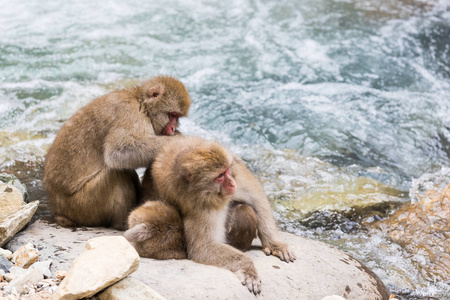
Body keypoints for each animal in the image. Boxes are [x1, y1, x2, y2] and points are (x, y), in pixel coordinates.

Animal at [42, 75, 190, 230]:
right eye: (172, 115)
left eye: (177, 117)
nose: (172, 128)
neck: (141, 102)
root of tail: (58, 209)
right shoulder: (129, 113)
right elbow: (119, 152)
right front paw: (178, 139)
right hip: (83, 206)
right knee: (116, 172)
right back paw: (123, 223)